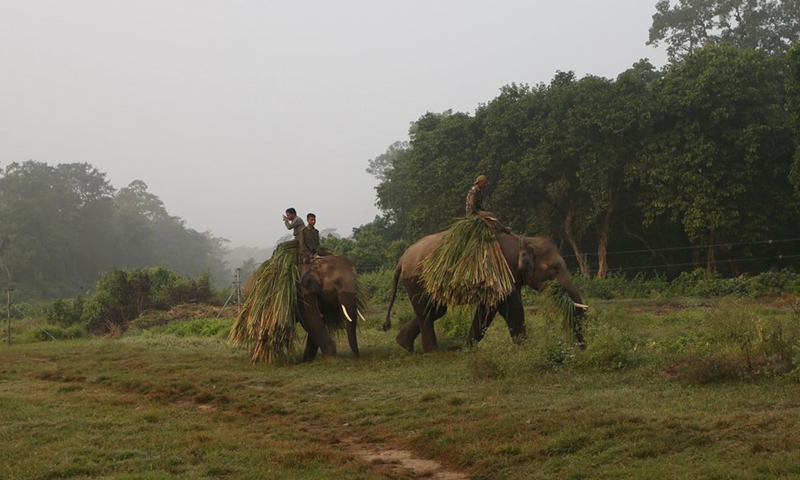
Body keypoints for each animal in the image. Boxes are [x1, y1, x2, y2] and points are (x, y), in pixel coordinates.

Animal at [382, 231, 587, 353]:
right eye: (555, 268)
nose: (582, 348)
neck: (521, 239)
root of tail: (402, 259)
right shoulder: (500, 271)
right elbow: (511, 310)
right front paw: (526, 349)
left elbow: (488, 309)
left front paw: (466, 349)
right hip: (416, 280)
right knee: (427, 311)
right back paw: (432, 352)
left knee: (436, 310)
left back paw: (403, 343)